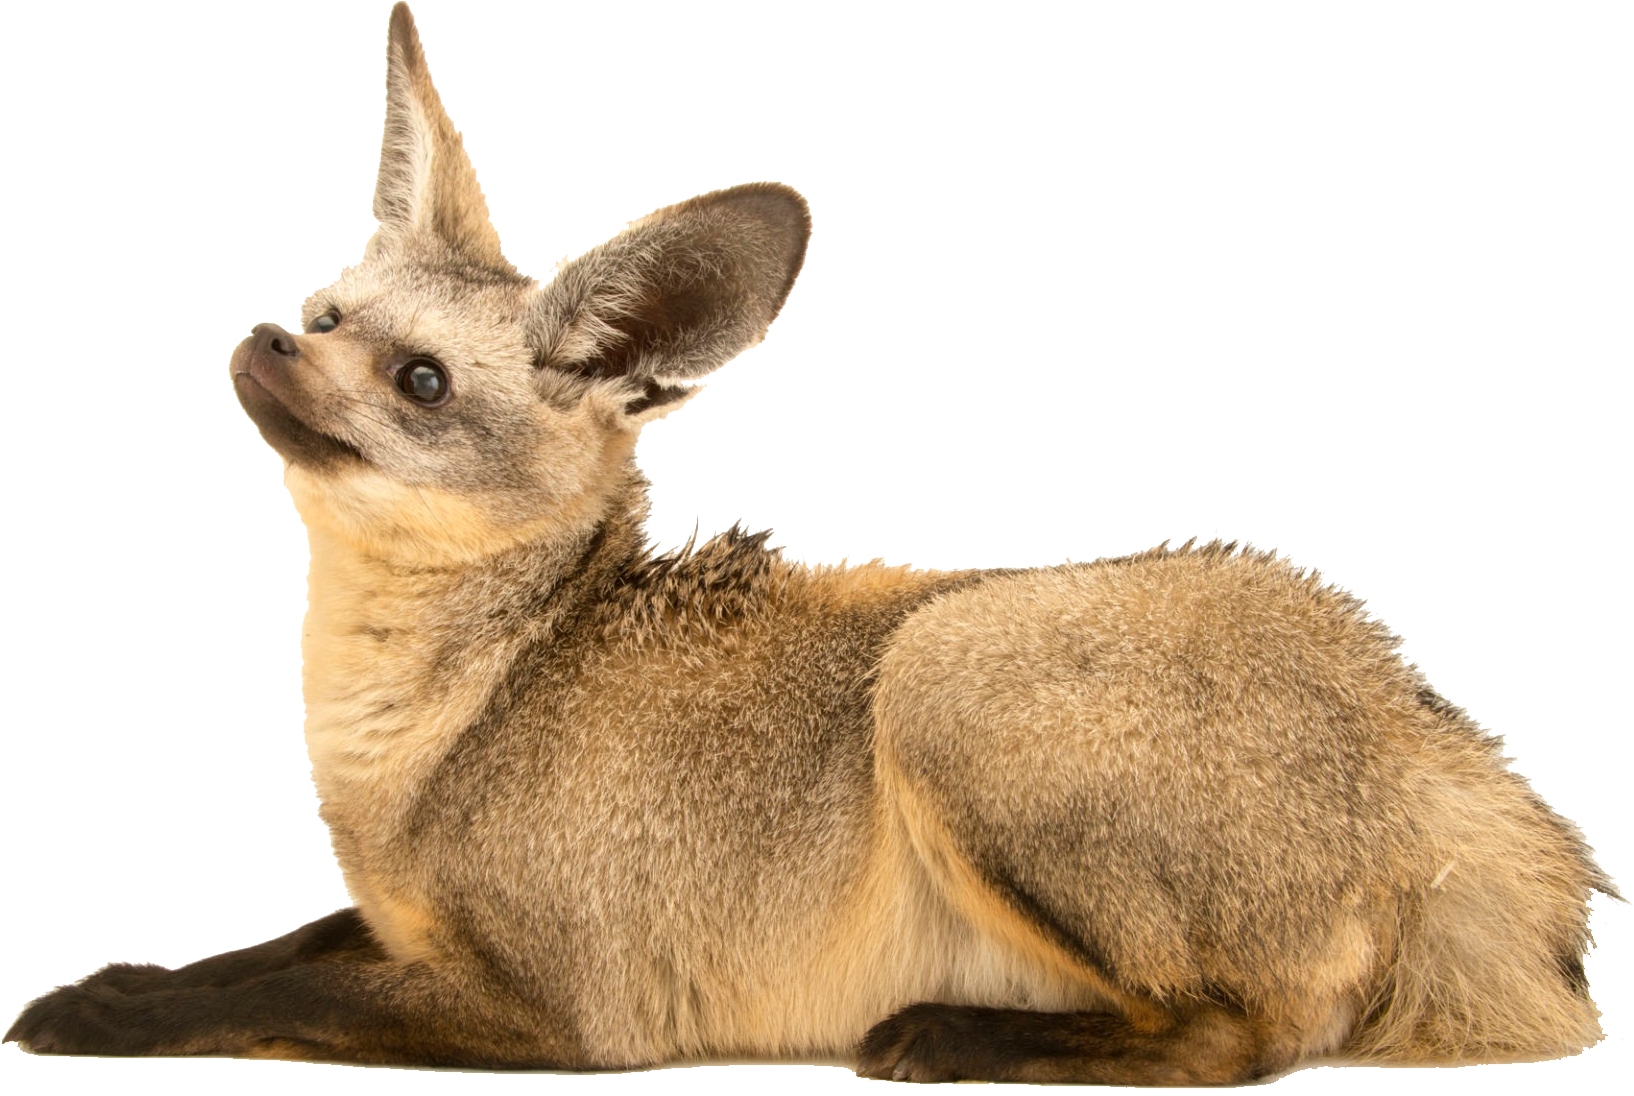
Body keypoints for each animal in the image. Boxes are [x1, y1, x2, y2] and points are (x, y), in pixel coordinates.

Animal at [5, 2, 1618, 1082]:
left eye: (418, 383)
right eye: (326, 308)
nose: (267, 340)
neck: (438, 721)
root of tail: (1446, 770)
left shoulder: (549, 1010)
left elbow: (264, 1005)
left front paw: (108, 1014)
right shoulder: (399, 929)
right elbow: (269, 948)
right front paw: (120, 979)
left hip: (947, 675)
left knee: (1248, 1038)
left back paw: (961, 1040)